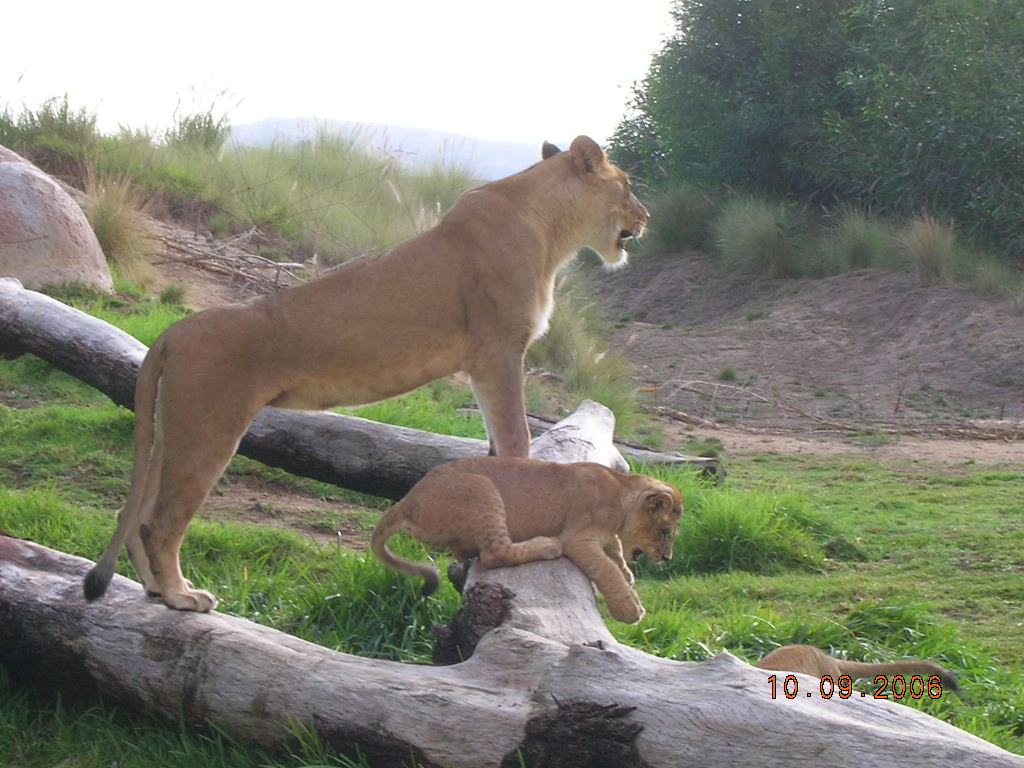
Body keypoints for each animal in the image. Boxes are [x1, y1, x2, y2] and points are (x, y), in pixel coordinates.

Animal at [82, 136, 649, 612]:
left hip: (174, 431)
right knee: (160, 523)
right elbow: (516, 440)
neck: (553, 229)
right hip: (208, 432)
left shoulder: (483, 363)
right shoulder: (499, 352)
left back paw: (155, 590)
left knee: (135, 515)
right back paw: (182, 596)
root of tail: (174, 331)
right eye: (627, 185)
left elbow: (494, 444)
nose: (645, 216)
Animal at [370, 457, 682, 624]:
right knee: (494, 554)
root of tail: (409, 499)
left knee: (468, 552)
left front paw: (627, 572)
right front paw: (629, 607)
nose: (667, 558)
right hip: (482, 489)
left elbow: (615, 549)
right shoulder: (577, 537)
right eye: (665, 532)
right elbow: (605, 568)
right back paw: (547, 545)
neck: (620, 492)